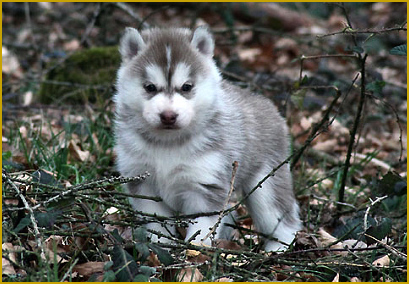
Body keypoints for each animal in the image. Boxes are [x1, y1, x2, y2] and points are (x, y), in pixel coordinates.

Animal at [113, 27, 302, 251]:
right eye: (150, 87)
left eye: (186, 87)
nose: (168, 116)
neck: (168, 143)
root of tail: (268, 104)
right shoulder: (143, 184)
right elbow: (157, 226)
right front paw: (162, 250)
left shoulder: (205, 186)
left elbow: (202, 230)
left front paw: (193, 254)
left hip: (266, 185)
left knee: (282, 219)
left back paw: (276, 250)